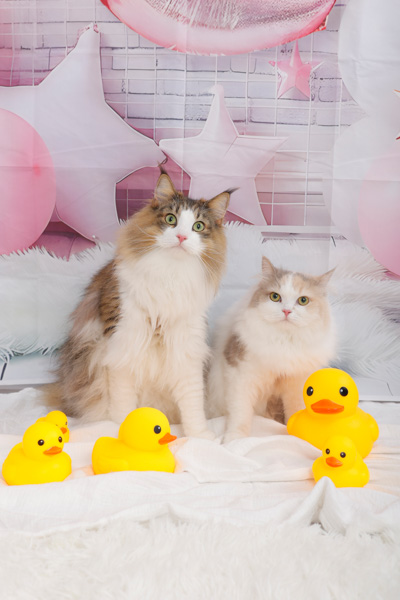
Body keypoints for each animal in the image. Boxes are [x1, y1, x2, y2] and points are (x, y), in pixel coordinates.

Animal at [43, 170, 233, 439]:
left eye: (198, 226)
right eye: (171, 219)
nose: (182, 237)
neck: (170, 275)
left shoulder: (186, 346)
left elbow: (192, 402)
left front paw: (201, 437)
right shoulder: (122, 345)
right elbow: (123, 405)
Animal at [206, 256, 336, 442]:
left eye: (303, 300)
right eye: (275, 297)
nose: (286, 311)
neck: (283, 343)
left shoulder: (296, 384)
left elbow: (295, 410)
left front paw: (299, 438)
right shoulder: (241, 376)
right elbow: (240, 414)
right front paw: (234, 439)